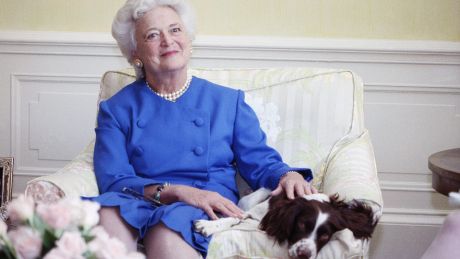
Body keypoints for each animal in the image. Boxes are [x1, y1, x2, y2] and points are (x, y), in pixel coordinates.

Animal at [193, 189, 378, 259]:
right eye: (302, 225)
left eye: (325, 235)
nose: (304, 255)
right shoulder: (255, 212)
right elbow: (236, 216)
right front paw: (207, 226)